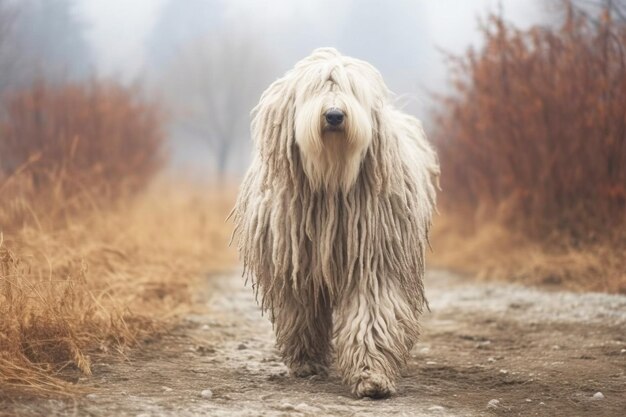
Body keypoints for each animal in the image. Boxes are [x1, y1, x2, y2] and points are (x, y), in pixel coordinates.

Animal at [230, 47, 438, 398]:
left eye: (351, 90)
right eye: (315, 90)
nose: (335, 115)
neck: (332, 180)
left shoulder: (373, 261)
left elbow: (371, 314)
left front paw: (371, 375)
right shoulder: (297, 264)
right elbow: (303, 312)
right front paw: (307, 361)